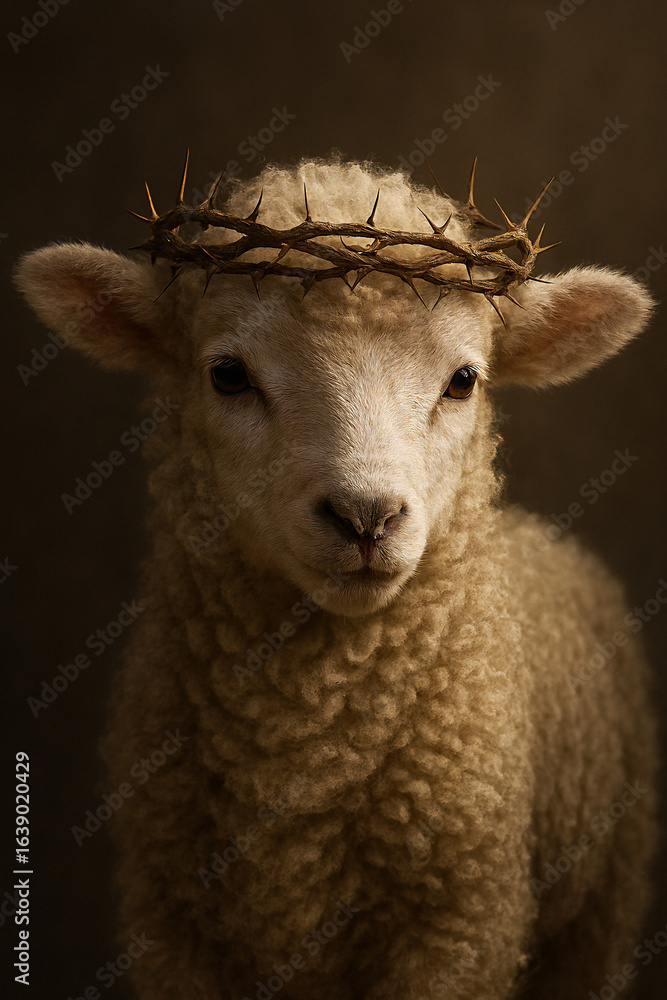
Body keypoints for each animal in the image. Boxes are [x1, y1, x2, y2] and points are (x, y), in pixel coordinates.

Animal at [15, 157, 658, 1000]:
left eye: (462, 379)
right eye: (227, 375)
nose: (365, 516)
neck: (307, 740)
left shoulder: (458, 928)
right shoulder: (173, 929)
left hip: (596, 915)